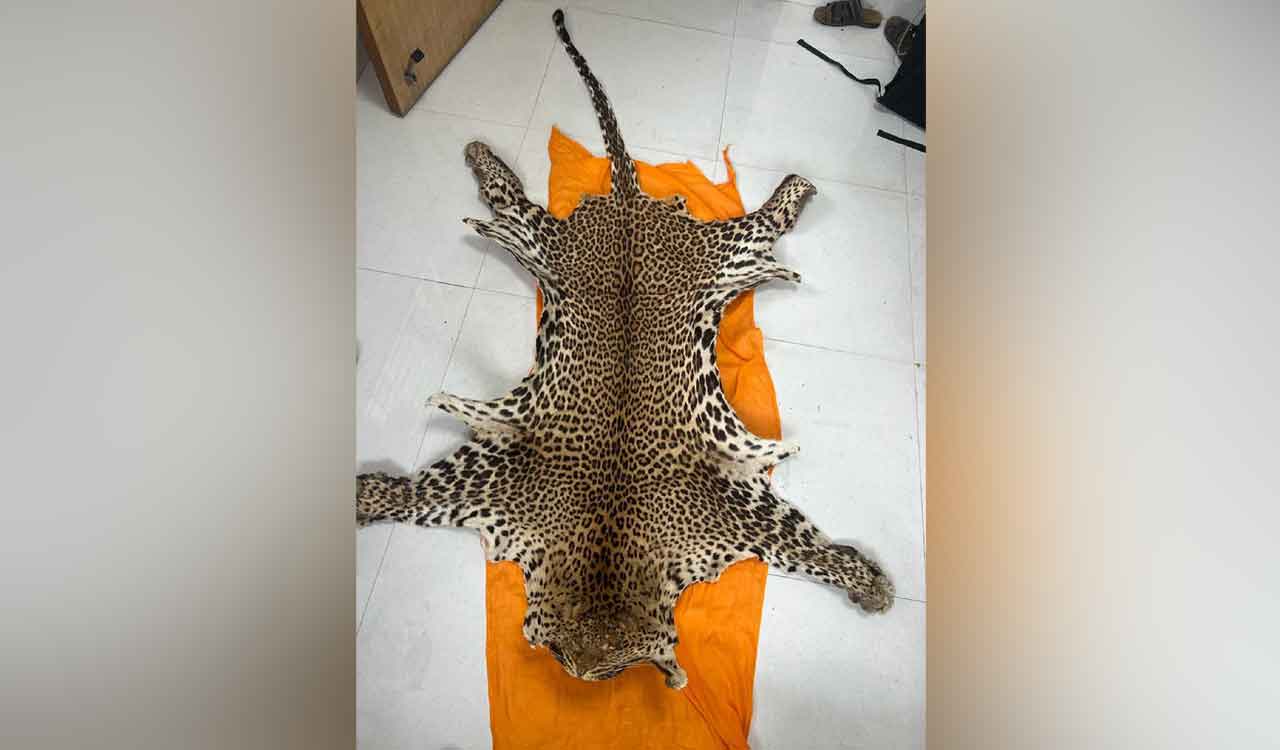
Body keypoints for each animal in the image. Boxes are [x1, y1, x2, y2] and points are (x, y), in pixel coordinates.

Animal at [357, 7, 894, 691]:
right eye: (563, 660)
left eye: (610, 672)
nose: (581, 676)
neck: (608, 554)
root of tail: (630, 205)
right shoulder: (485, 484)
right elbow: (408, 494)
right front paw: (361, 498)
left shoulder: (742, 515)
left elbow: (811, 549)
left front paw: (869, 582)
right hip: (558, 244)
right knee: (511, 200)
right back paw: (483, 156)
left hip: (716, 252)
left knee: (768, 214)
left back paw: (796, 187)